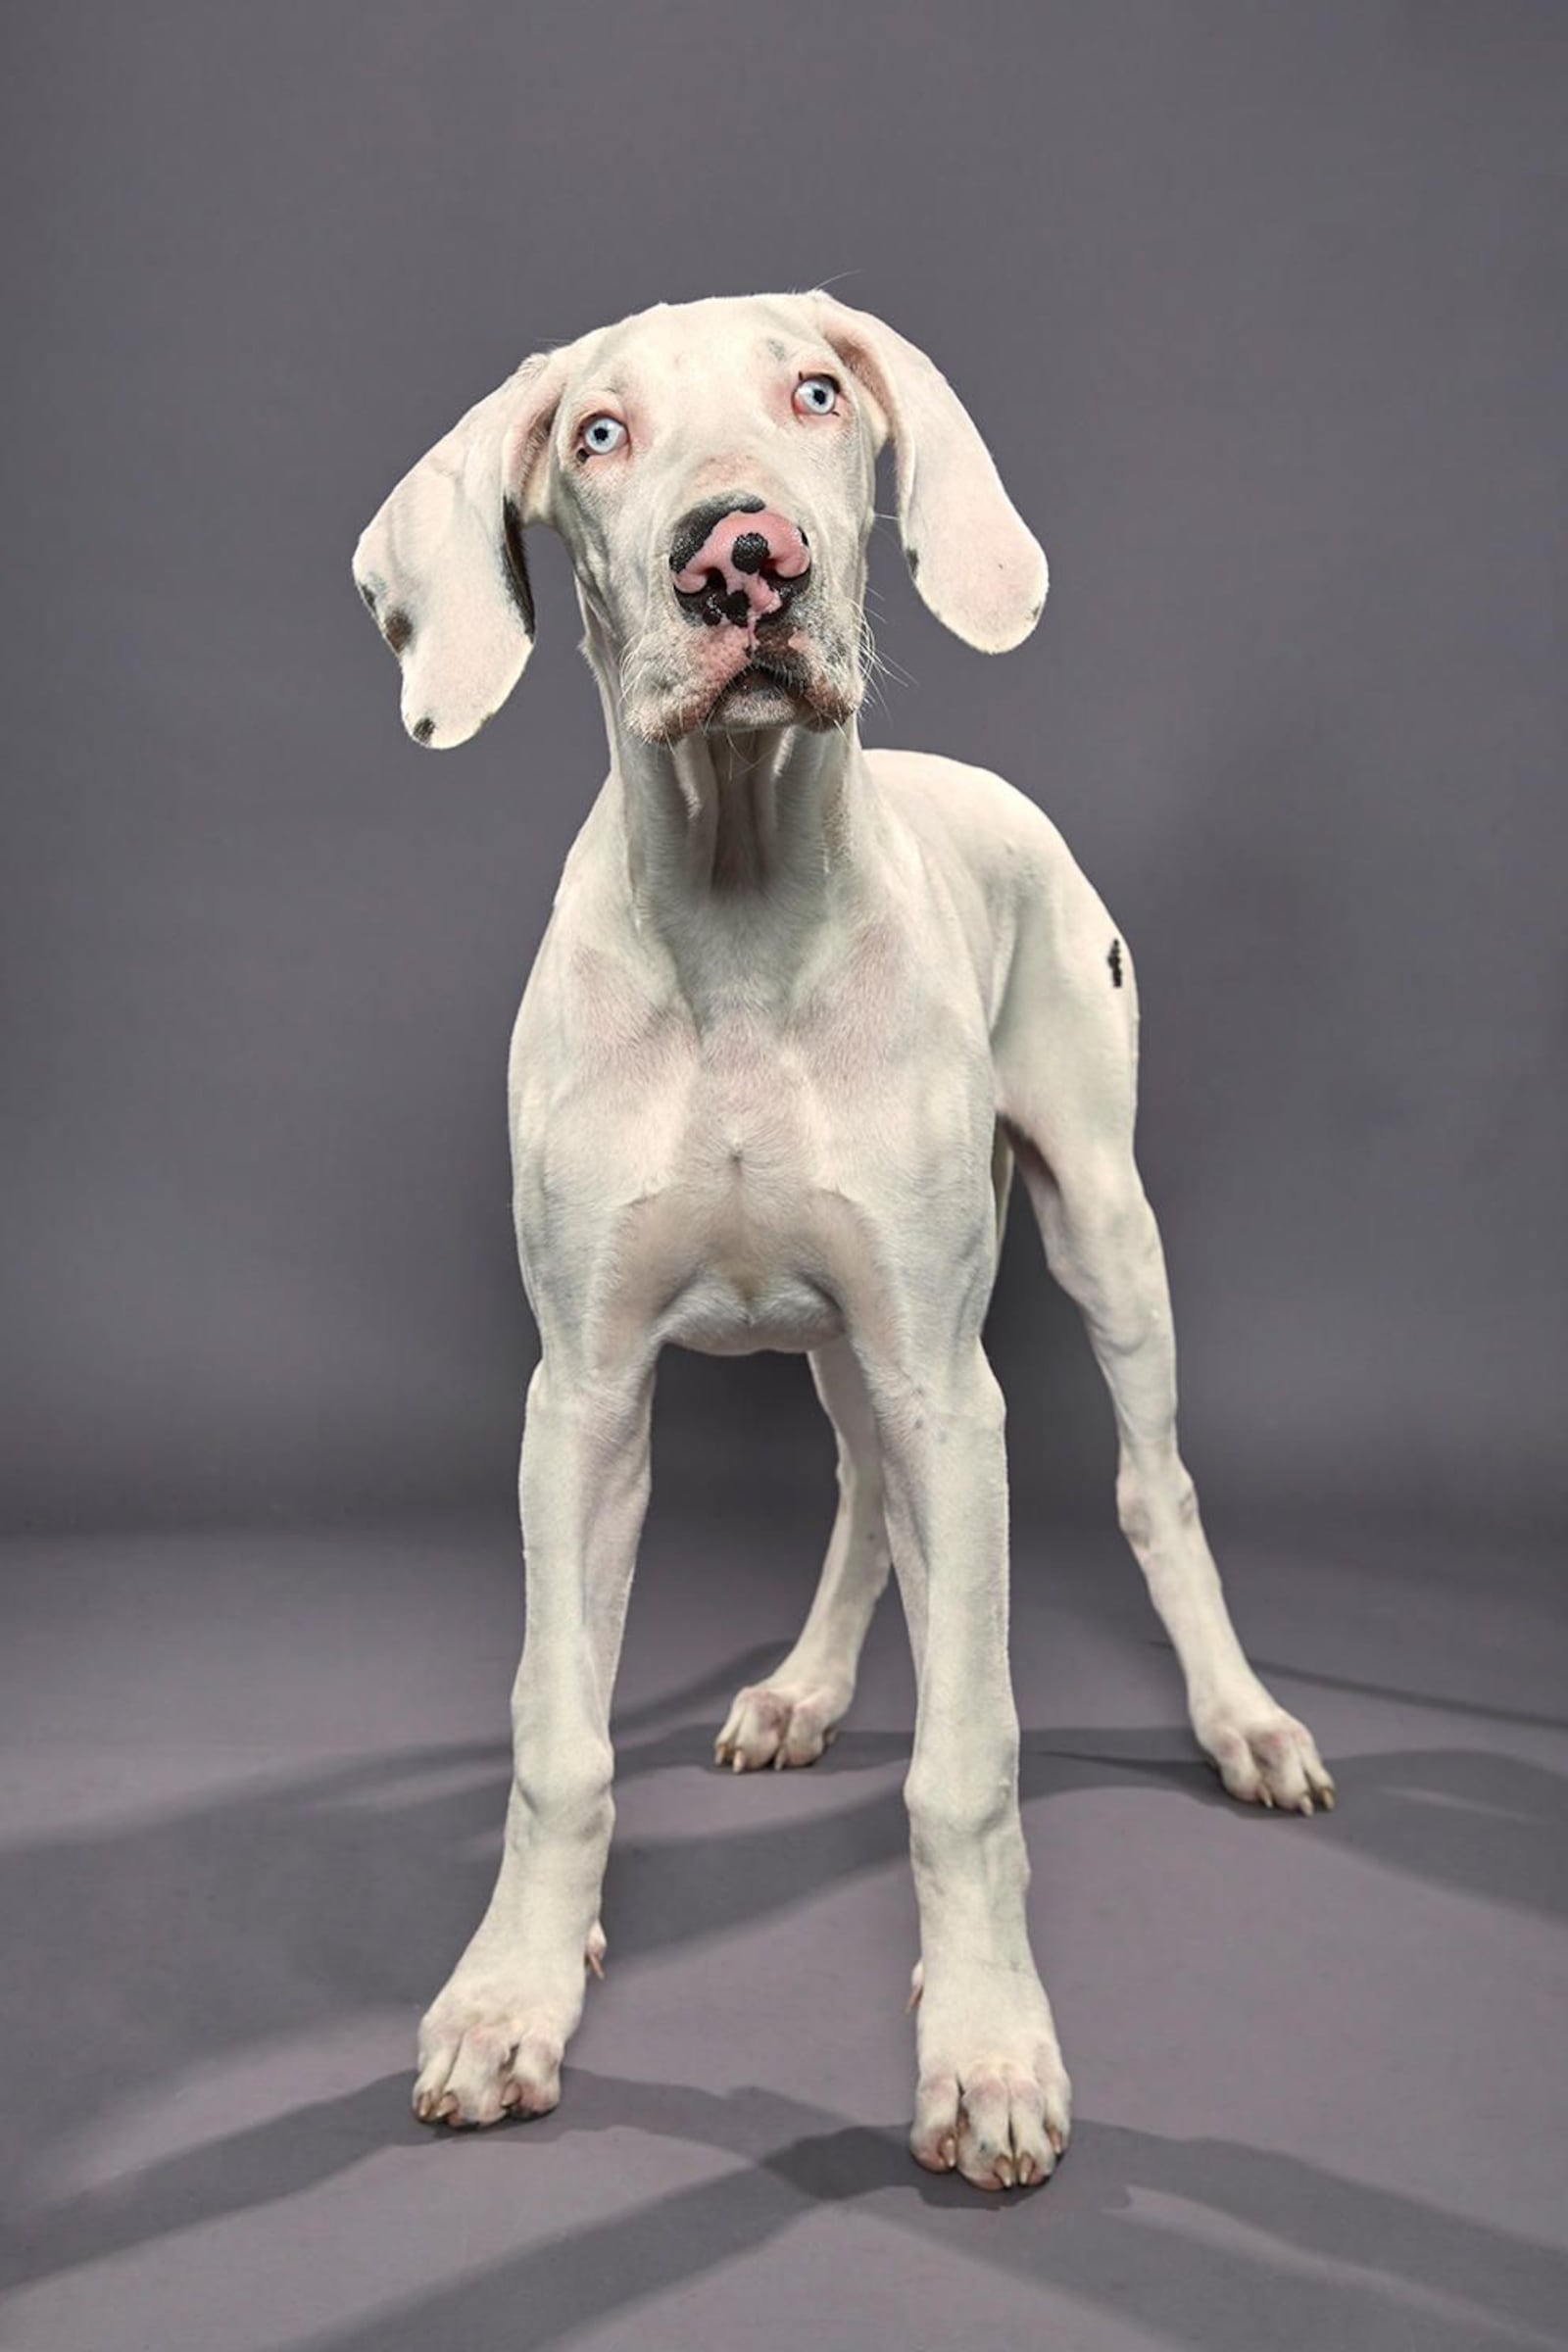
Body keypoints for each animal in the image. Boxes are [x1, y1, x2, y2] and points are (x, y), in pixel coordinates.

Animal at [350, 289, 1335, 2182]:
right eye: (598, 434)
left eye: (815, 393)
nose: (746, 558)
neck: (739, 910)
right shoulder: (582, 1401)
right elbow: (557, 1735)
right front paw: (513, 1994)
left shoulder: (955, 1384)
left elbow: (969, 1762)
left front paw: (990, 2045)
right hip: (843, 1340)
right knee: (867, 1490)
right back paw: (802, 1689)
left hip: (1098, 1234)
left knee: (1145, 1492)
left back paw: (1241, 1722)